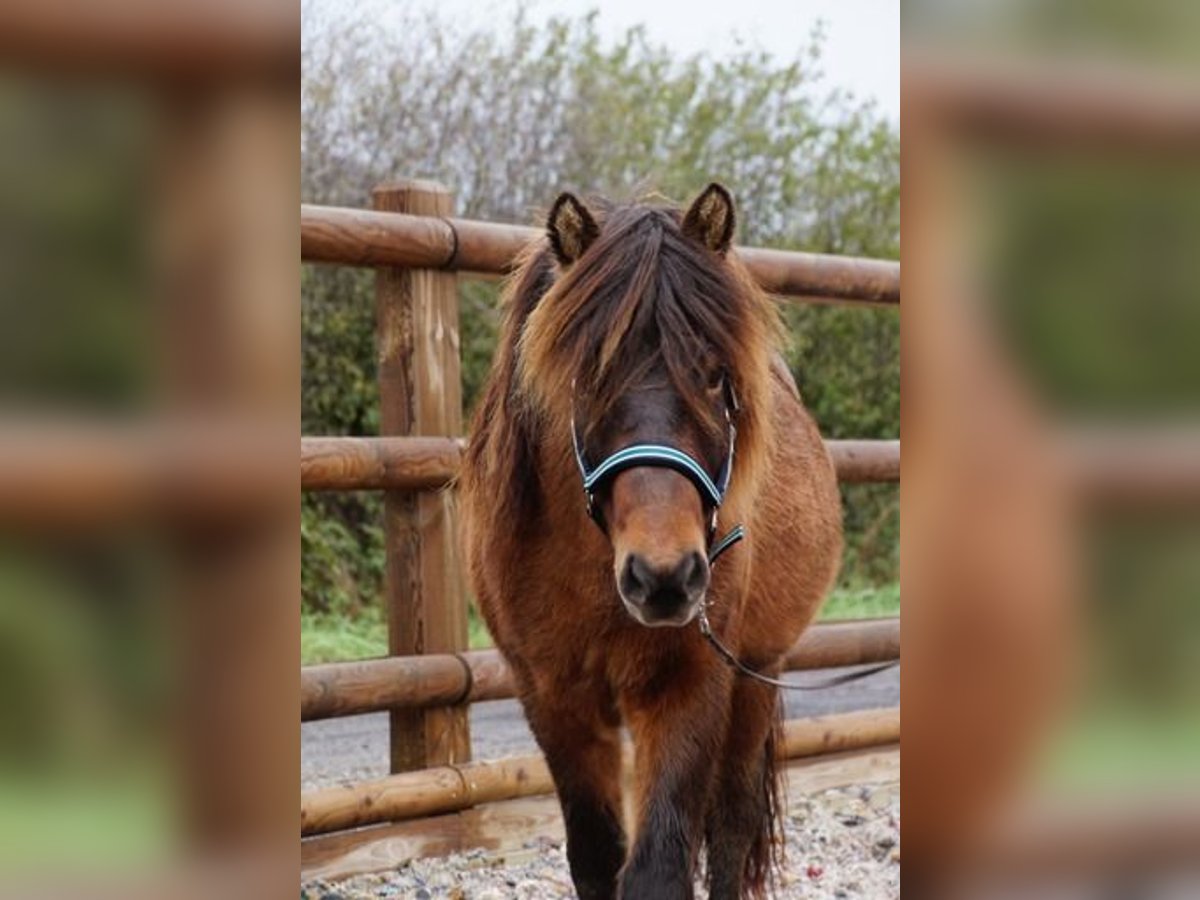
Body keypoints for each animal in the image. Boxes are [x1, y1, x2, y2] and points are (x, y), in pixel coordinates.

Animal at [458, 184, 844, 900]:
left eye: (716, 377)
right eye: (588, 377)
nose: (664, 577)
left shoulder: (690, 683)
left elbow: (660, 864)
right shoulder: (553, 700)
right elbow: (596, 857)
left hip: (758, 672)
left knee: (732, 820)